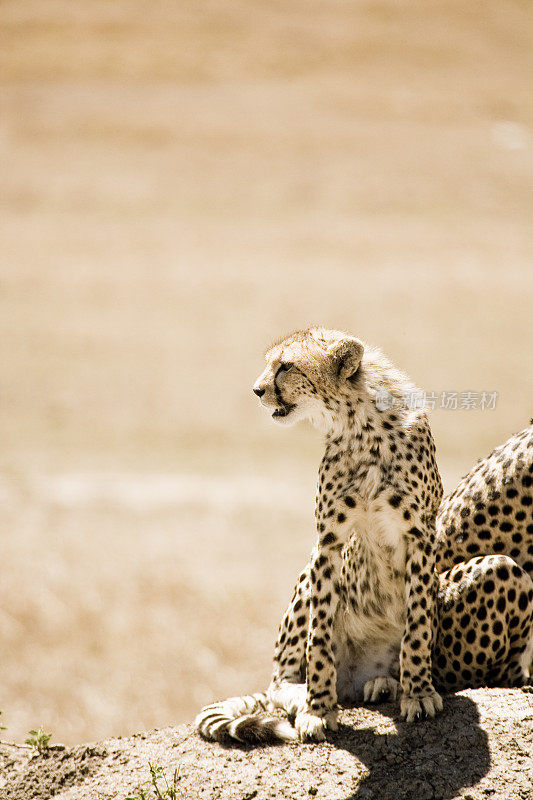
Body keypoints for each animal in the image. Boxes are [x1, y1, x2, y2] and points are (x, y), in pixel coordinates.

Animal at [196, 326, 532, 744]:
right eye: (271, 364)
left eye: (285, 366)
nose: (257, 390)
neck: (359, 423)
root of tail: (355, 679)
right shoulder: (328, 540)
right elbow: (319, 633)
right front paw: (318, 708)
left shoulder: (419, 536)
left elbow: (418, 625)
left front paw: (418, 692)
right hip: (307, 579)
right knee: (277, 681)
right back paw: (302, 693)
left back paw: (387, 683)